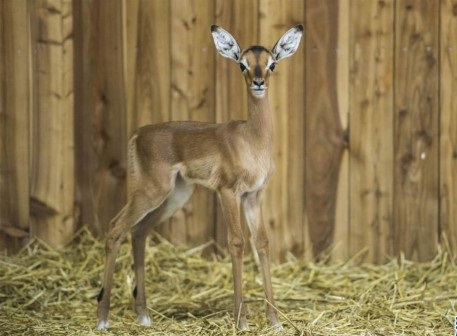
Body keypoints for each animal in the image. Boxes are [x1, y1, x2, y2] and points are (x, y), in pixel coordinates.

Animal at [95, 23, 302, 330]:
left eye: (272, 63)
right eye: (242, 64)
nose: (258, 82)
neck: (251, 140)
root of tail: (138, 134)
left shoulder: (254, 196)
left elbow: (262, 243)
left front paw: (275, 321)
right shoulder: (228, 192)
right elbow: (237, 242)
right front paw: (241, 321)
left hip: (175, 196)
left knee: (138, 231)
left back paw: (144, 315)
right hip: (150, 192)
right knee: (115, 228)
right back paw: (102, 319)